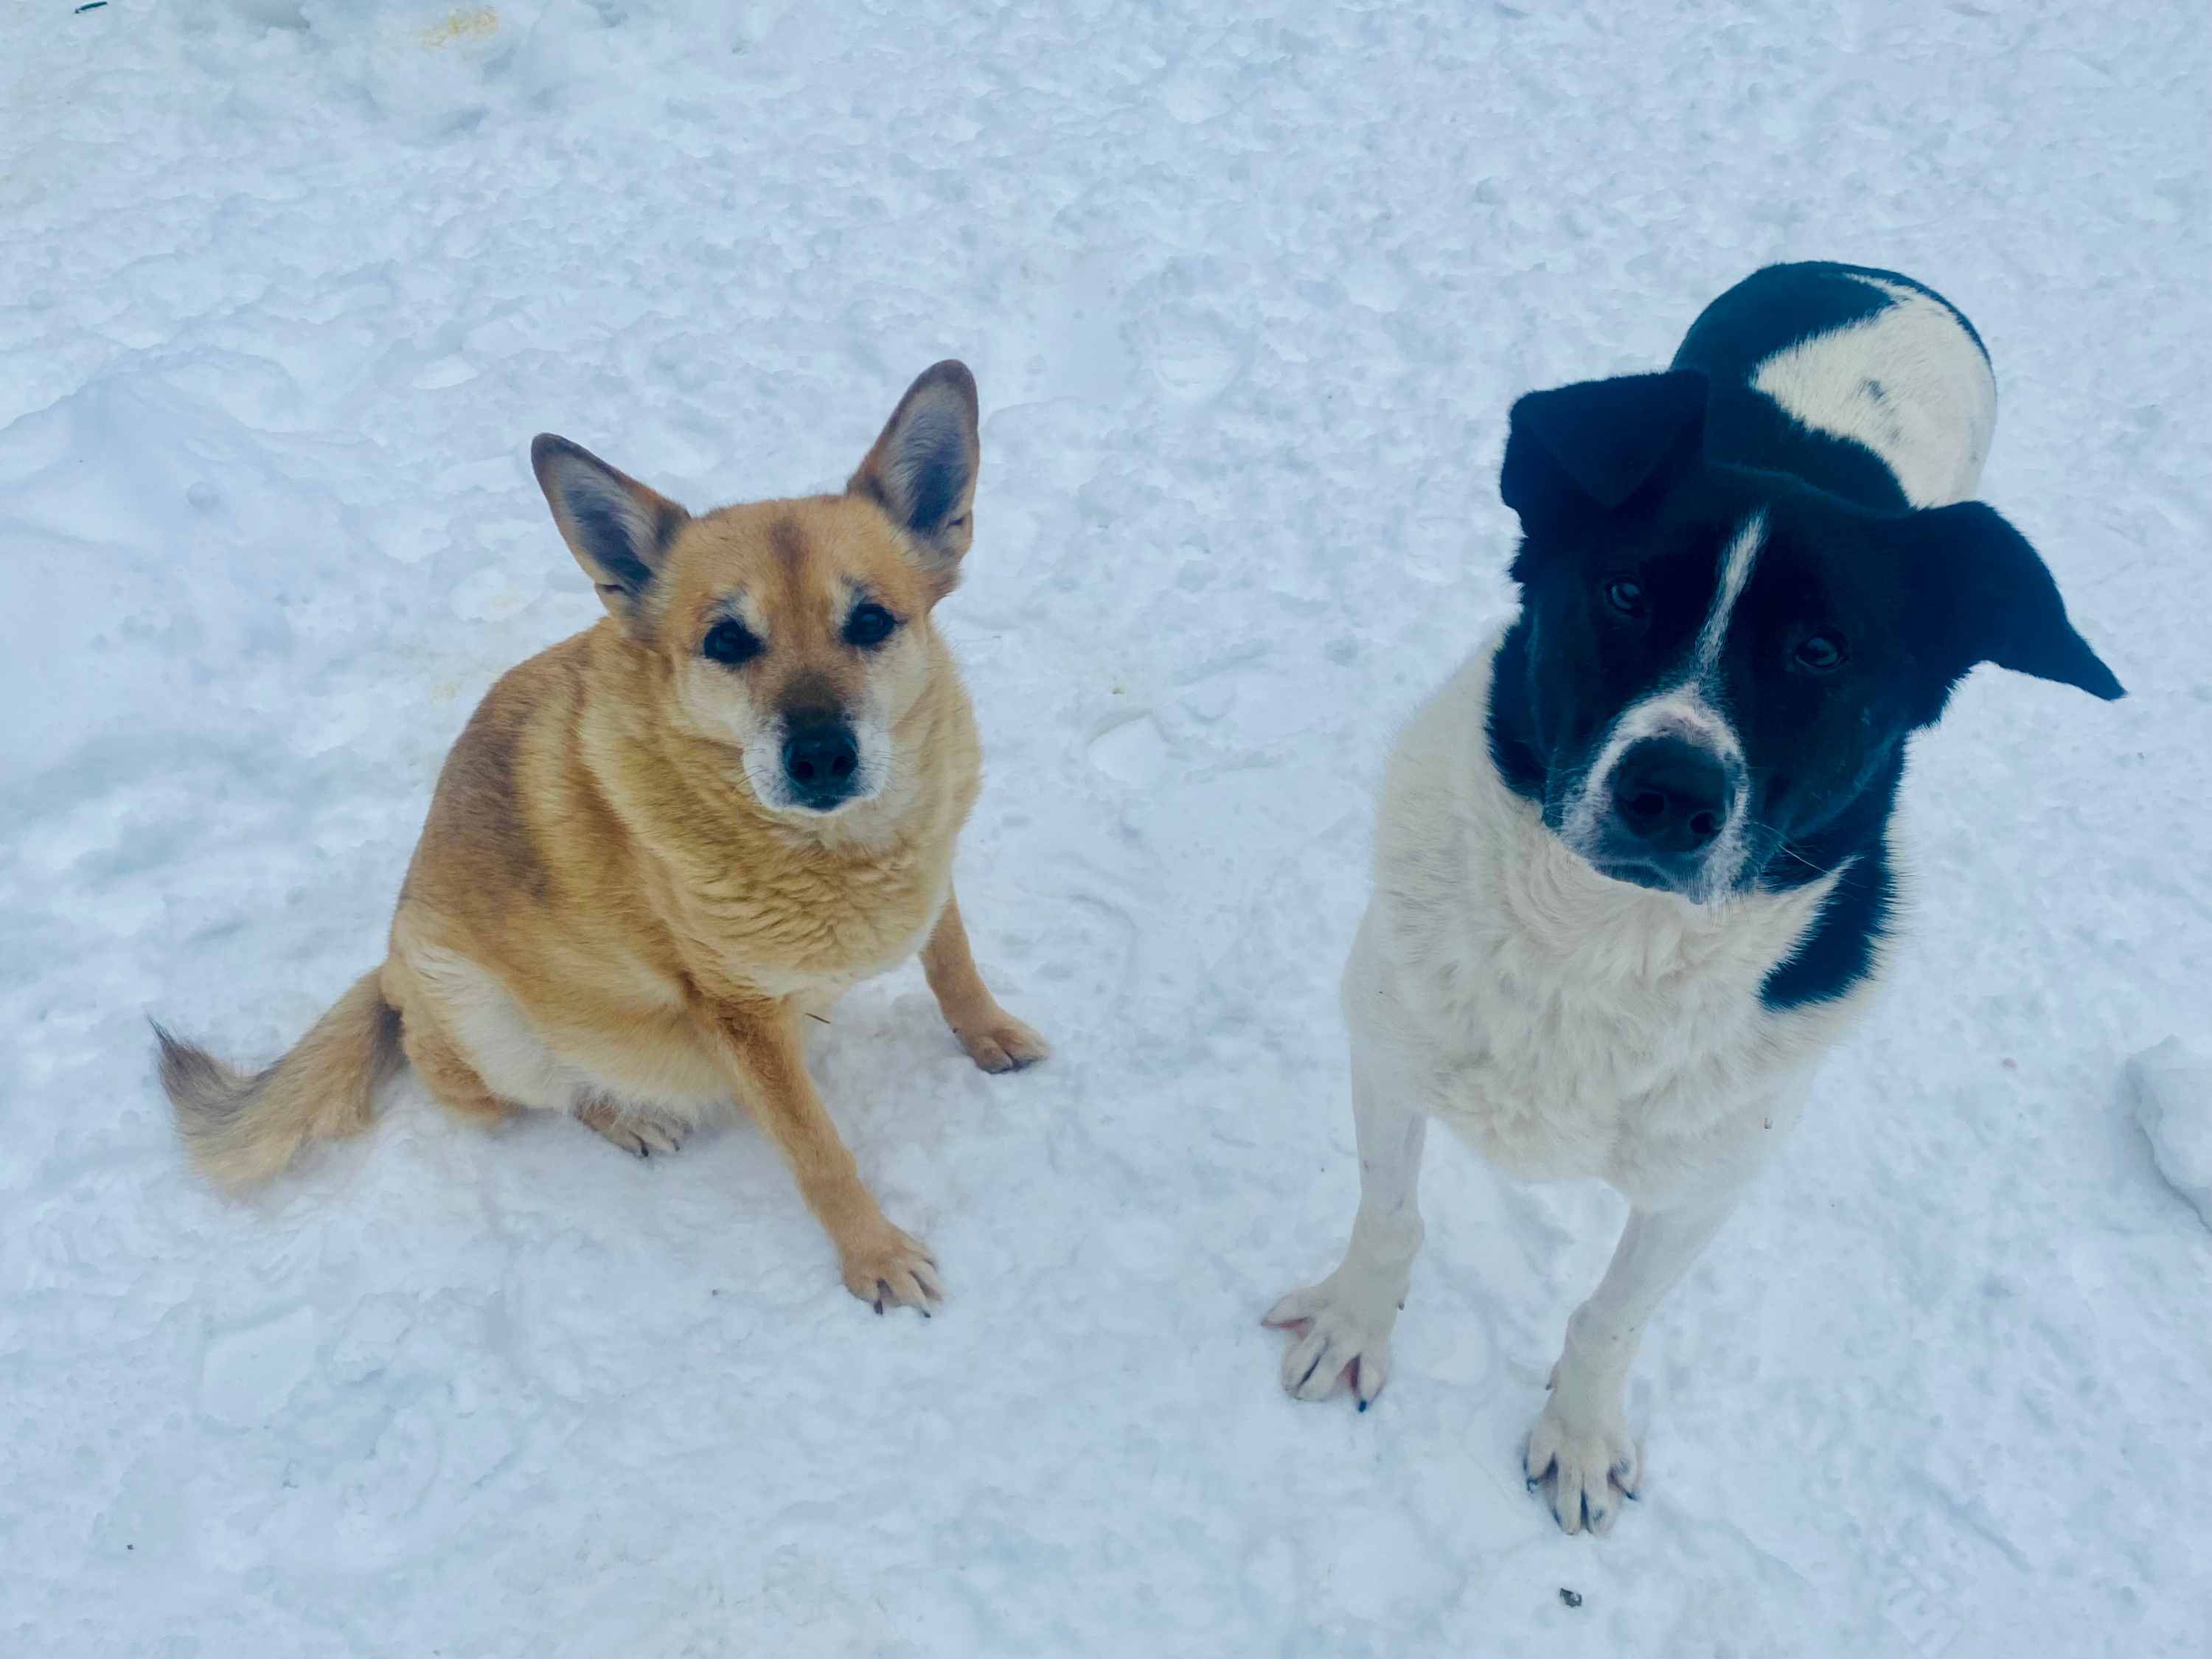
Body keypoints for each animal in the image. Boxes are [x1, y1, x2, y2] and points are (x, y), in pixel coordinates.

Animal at [156, 361, 1046, 1314]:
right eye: (727, 640)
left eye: (872, 621)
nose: (820, 756)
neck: (838, 849)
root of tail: (389, 969)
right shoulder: (739, 1019)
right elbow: (818, 1151)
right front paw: (872, 1255)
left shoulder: (932, 867)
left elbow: (953, 963)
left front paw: (988, 1034)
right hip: (485, 1016)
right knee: (546, 1092)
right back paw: (630, 1116)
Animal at [1265, 262, 2122, 1533]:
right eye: (1625, 590)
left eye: (1821, 651)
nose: (1671, 791)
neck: (1596, 945)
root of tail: (1879, 270)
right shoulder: (1386, 1045)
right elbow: (1391, 1212)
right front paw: (1352, 1324)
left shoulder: (1708, 1180)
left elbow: (1615, 1312)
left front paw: (1578, 1435)